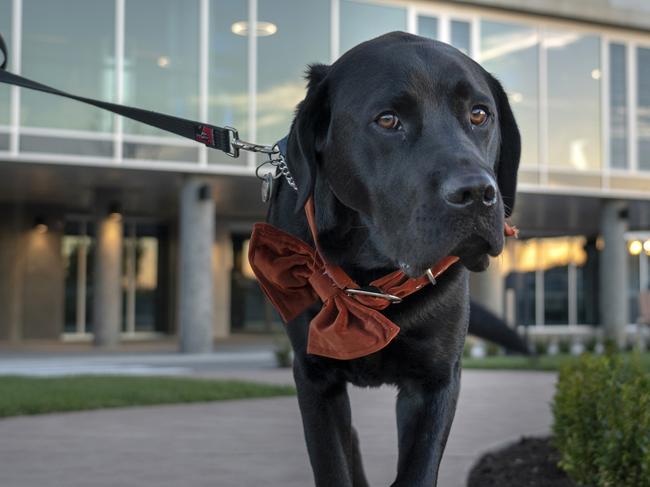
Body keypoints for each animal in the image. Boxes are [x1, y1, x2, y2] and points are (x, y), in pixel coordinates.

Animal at [266, 31, 520, 487]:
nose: (477, 192)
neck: (372, 277)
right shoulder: (314, 377)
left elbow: (417, 470)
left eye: (479, 114)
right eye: (387, 120)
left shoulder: (437, 380)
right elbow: (333, 464)